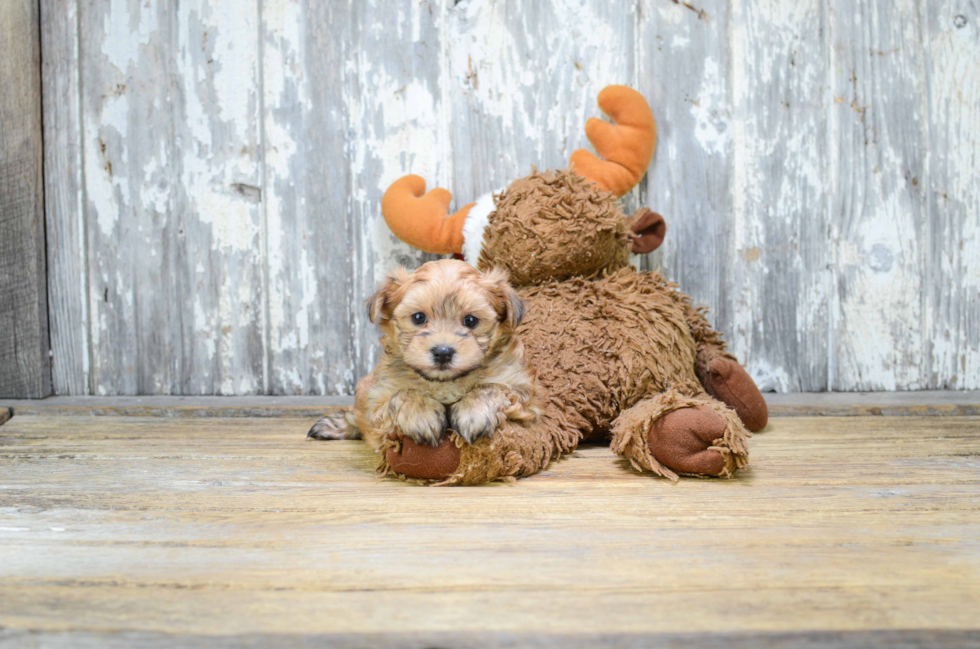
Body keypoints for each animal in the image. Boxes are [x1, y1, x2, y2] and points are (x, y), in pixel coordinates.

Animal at [308, 258, 540, 450]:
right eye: (419, 318)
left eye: (471, 321)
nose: (443, 352)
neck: (444, 382)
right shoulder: (378, 399)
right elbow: (400, 396)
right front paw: (420, 414)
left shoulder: (525, 395)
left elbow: (492, 388)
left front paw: (474, 412)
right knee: (357, 413)